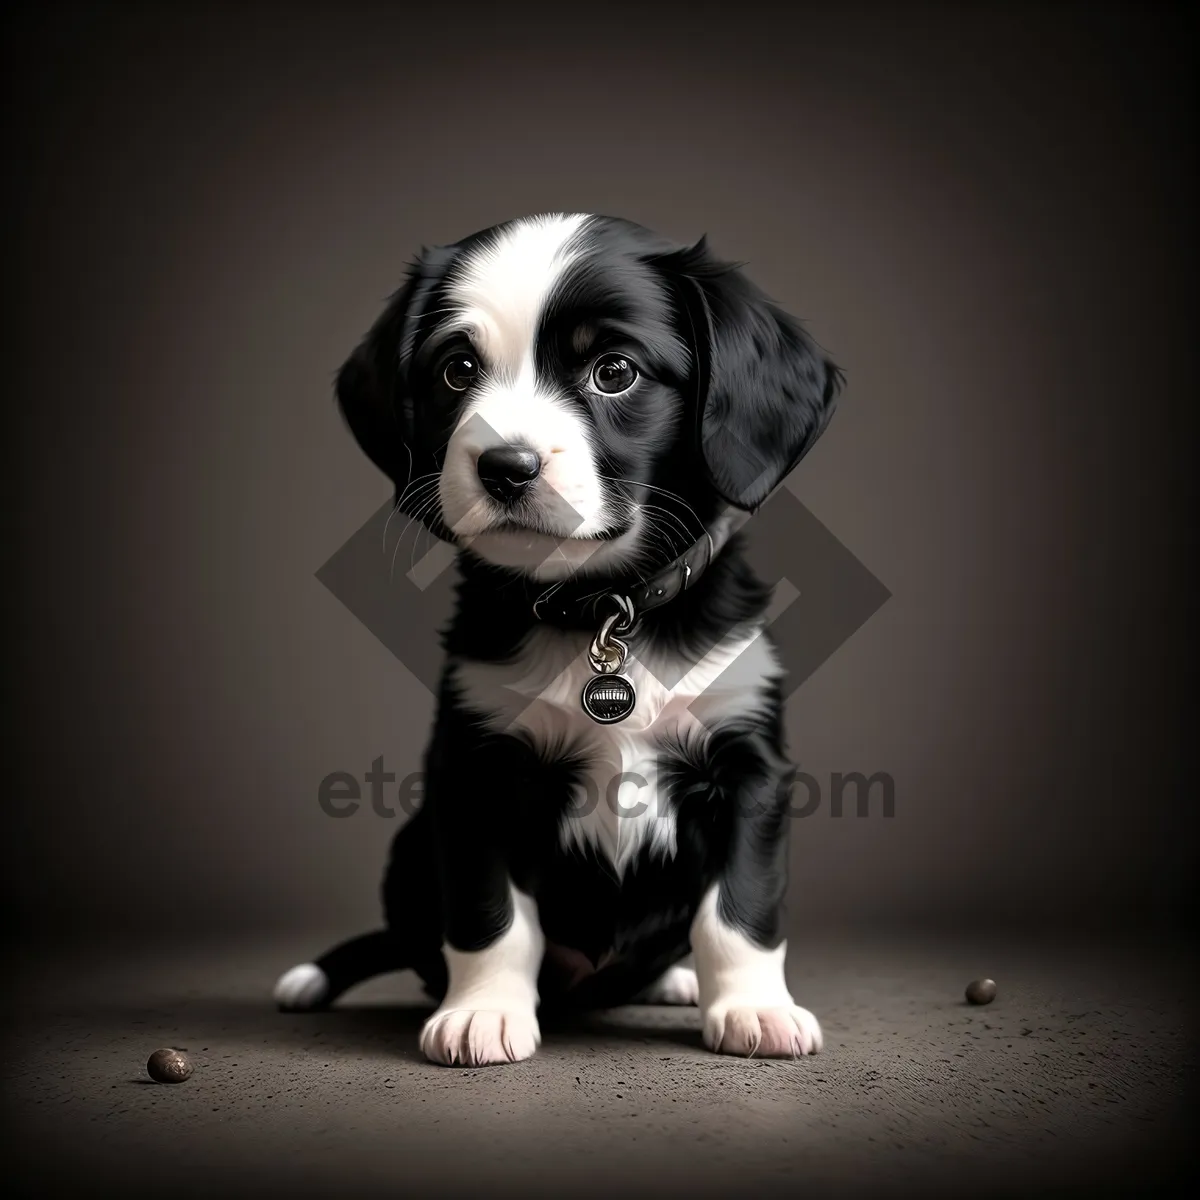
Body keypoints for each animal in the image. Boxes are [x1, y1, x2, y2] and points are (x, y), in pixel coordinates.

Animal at [274, 211, 840, 1065]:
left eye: (614, 371)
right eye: (457, 370)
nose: (506, 466)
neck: (601, 609)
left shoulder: (749, 764)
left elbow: (738, 909)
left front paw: (754, 1008)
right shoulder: (473, 771)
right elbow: (491, 916)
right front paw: (482, 1011)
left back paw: (672, 980)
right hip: (410, 846)